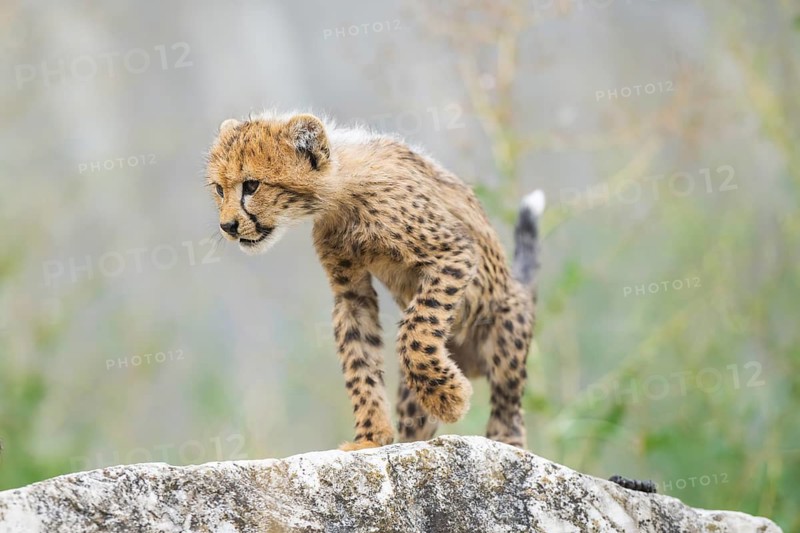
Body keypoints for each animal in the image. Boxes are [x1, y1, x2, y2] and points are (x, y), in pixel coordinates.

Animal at [205, 111, 545, 451]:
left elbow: (417, 326)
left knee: (509, 407)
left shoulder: (453, 252)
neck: (341, 193)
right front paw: (371, 437)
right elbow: (359, 361)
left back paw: (506, 441)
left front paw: (447, 397)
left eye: (251, 185)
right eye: (220, 189)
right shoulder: (352, 294)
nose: (228, 226)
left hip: (506, 335)